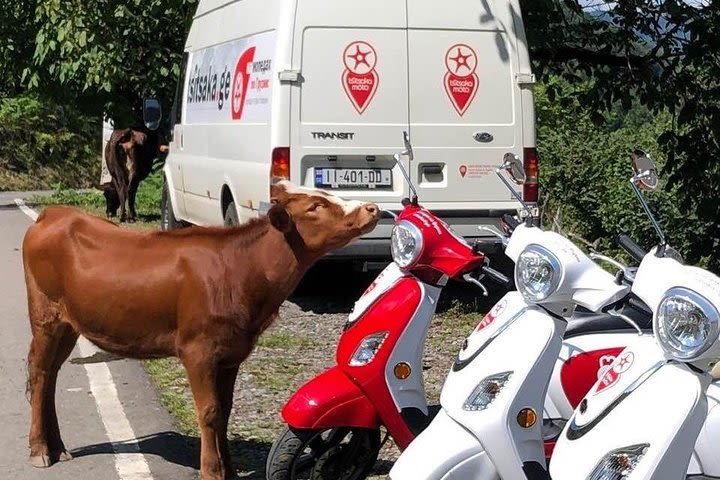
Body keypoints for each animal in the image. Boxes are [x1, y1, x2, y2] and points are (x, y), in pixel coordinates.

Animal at [21, 182, 382, 478]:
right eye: (314, 207)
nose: (371, 207)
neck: (242, 272)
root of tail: (55, 213)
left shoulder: (232, 353)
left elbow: (225, 410)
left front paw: (230, 470)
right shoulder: (198, 351)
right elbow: (208, 412)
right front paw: (212, 471)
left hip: (69, 324)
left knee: (51, 375)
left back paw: (57, 445)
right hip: (45, 315)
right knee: (39, 372)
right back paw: (40, 449)